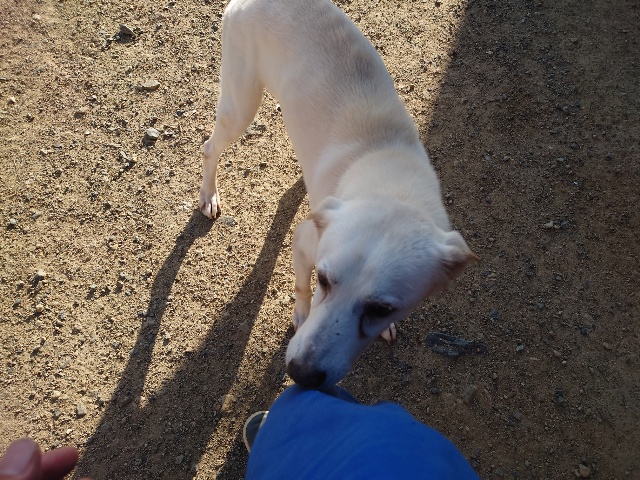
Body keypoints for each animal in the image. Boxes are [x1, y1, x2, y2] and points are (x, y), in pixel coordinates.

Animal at [199, 0, 478, 389]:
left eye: (381, 309)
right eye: (324, 280)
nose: (302, 374)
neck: (393, 189)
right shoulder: (304, 244)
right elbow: (301, 289)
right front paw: (301, 315)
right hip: (241, 104)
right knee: (210, 148)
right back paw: (208, 195)